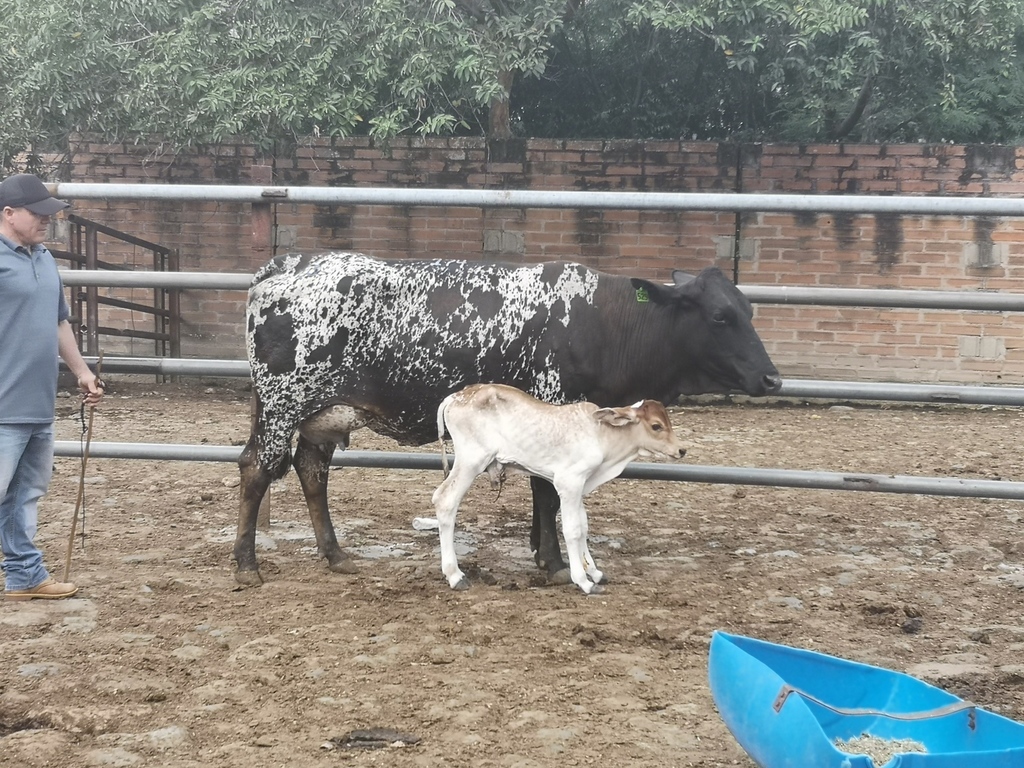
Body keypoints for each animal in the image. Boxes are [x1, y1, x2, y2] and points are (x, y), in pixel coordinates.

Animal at [432, 383, 687, 594]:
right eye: (656, 426)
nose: (681, 450)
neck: (601, 434)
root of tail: (456, 396)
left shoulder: (581, 485)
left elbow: (583, 527)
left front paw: (595, 573)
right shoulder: (569, 482)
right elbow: (572, 530)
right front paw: (583, 581)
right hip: (471, 461)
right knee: (444, 500)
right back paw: (455, 575)